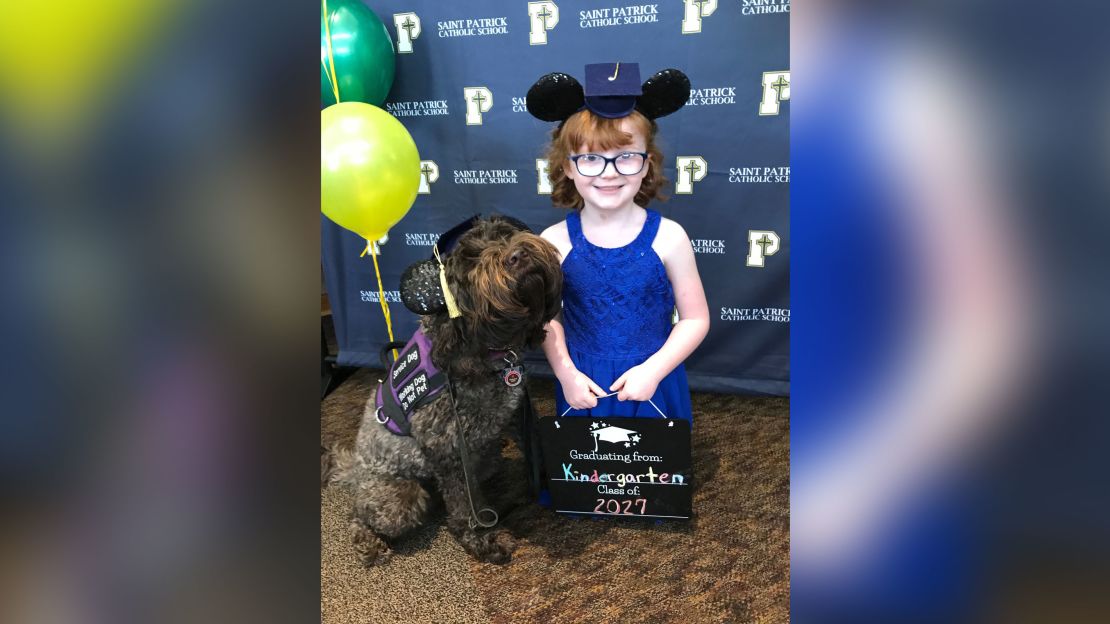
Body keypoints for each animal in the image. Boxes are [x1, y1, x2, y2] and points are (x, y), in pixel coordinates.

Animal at [324, 217, 559, 564]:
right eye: (472, 259)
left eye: (505, 233)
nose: (518, 255)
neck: (481, 345)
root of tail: (354, 467)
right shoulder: (446, 447)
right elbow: (463, 505)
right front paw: (480, 540)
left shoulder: (517, 414)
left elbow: (537, 449)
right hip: (398, 497)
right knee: (359, 513)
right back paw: (368, 542)